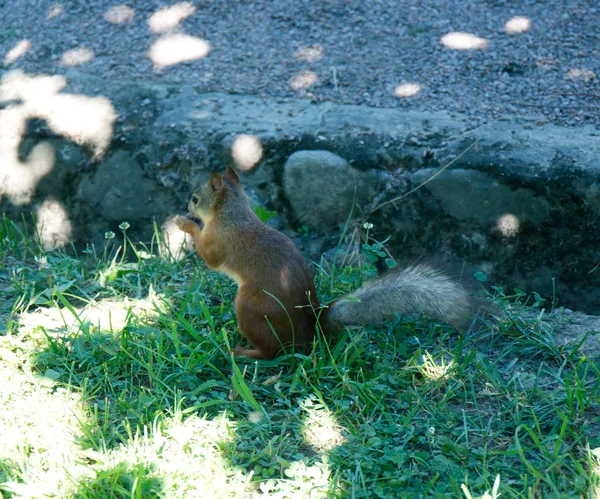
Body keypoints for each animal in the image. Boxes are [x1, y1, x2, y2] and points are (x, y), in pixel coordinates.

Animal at [176, 167, 476, 360]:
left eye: (195, 198)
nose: (187, 208)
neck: (233, 215)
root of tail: (310, 329)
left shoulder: (219, 242)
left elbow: (209, 257)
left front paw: (186, 225)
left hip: (251, 308)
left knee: (272, 351)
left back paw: (243, 352)